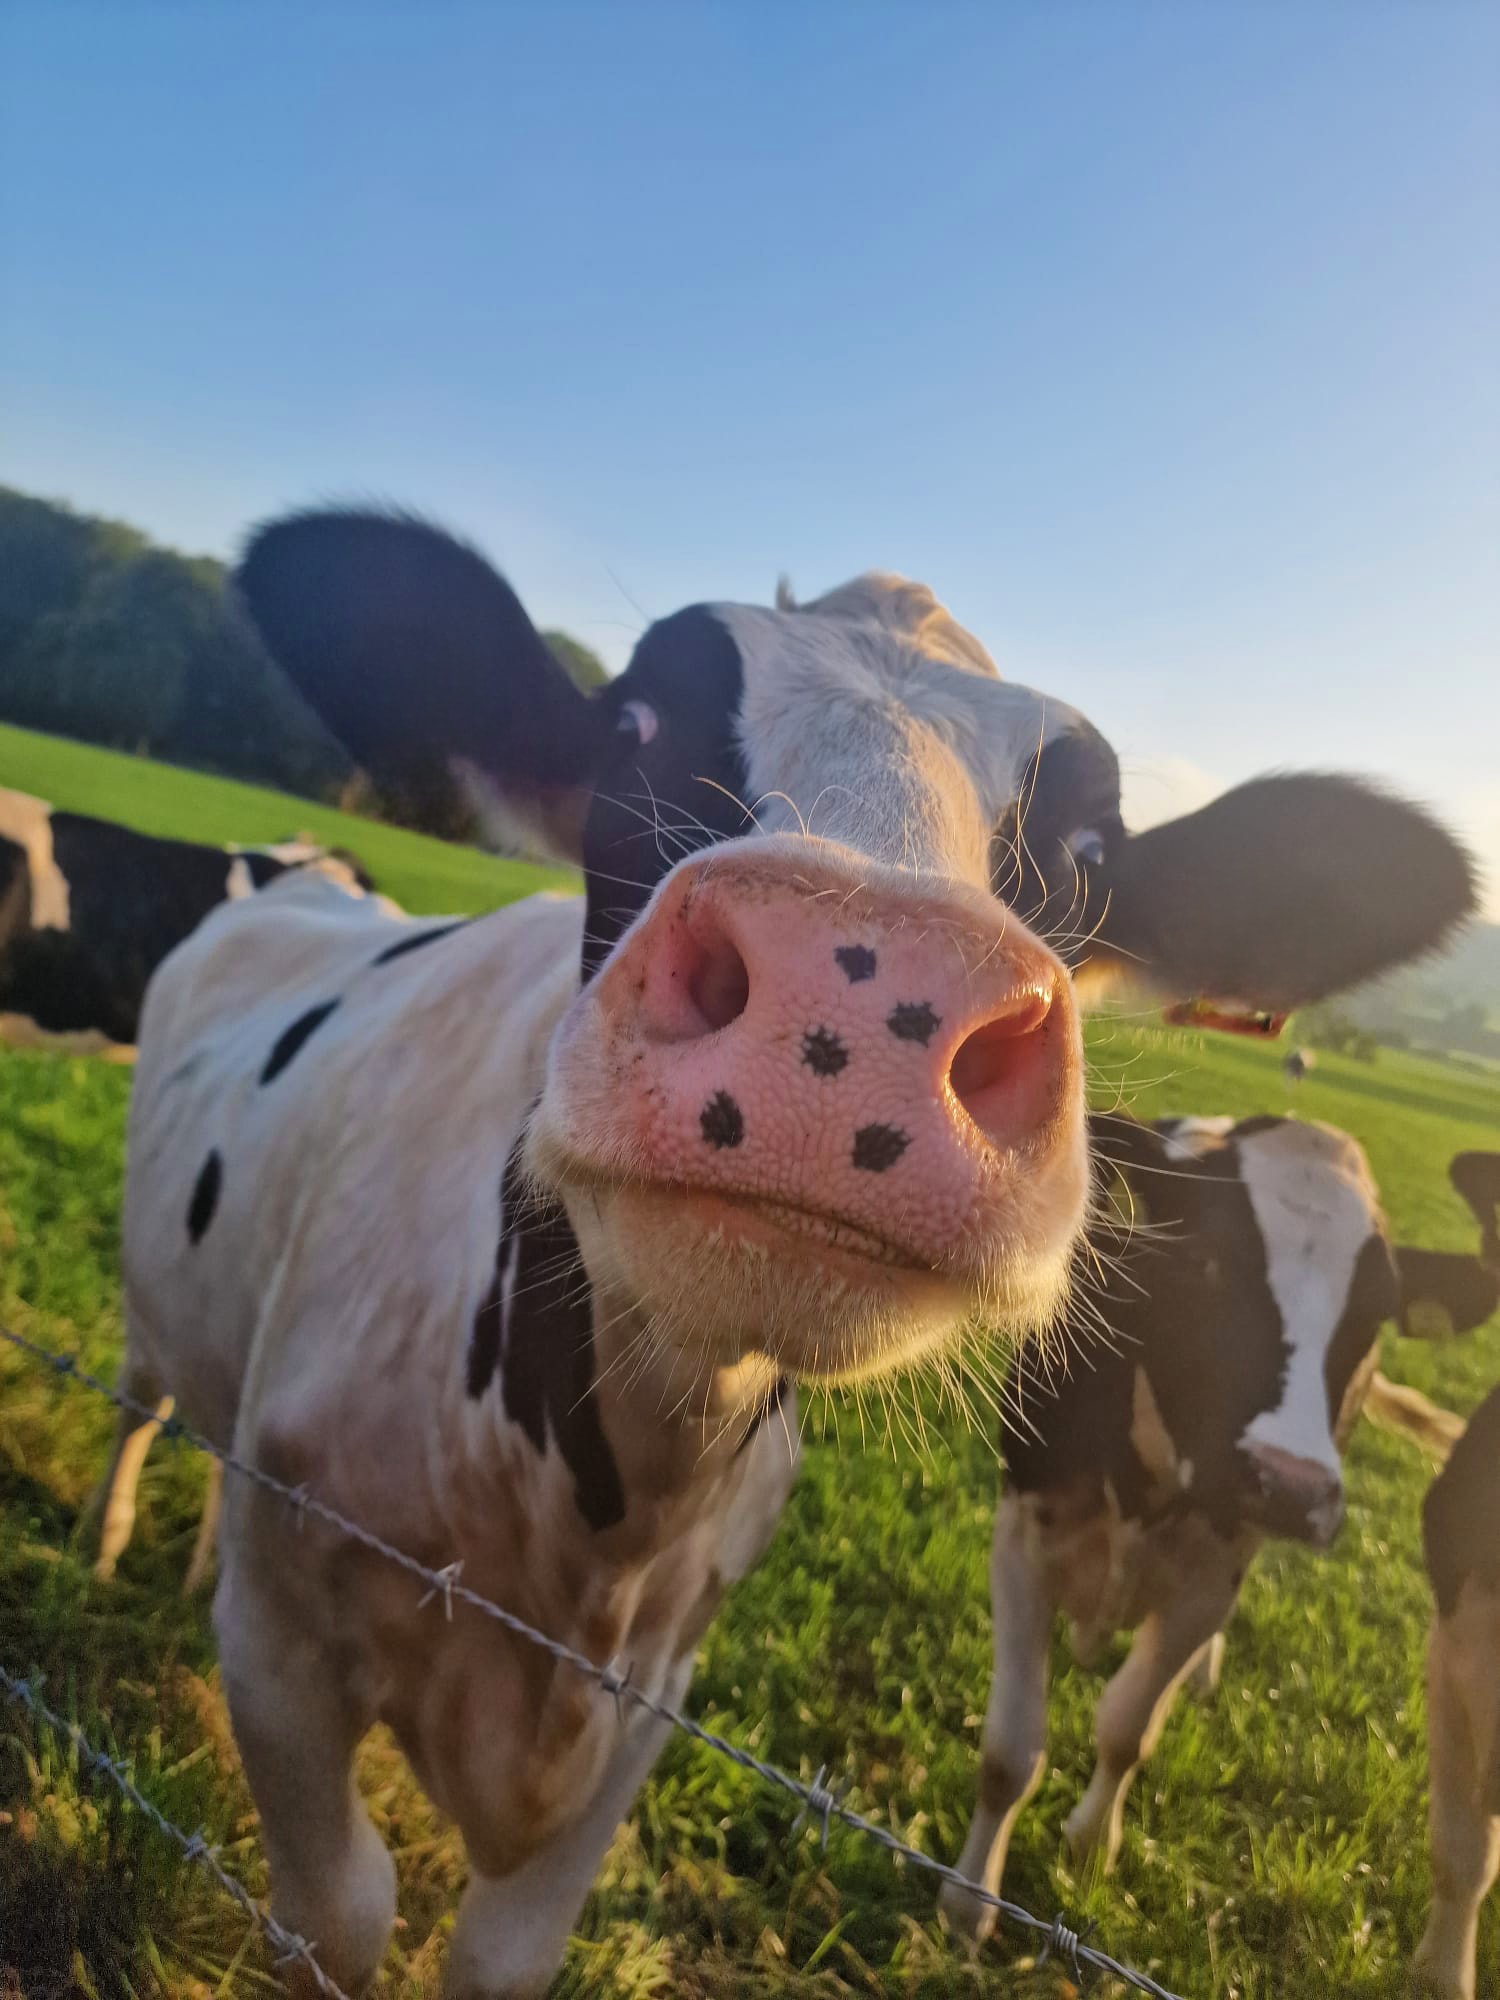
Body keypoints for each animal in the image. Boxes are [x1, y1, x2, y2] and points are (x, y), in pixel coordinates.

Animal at [943, 1111, 1499, 1940]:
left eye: (1374, 1315)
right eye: (1204, 1263)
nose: (1289, 1484)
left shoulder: (1210, 1581)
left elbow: (1128, 1729)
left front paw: (1091, 1844)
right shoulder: (1022, 1539)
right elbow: (1011, 1752)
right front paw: (969, 1898)